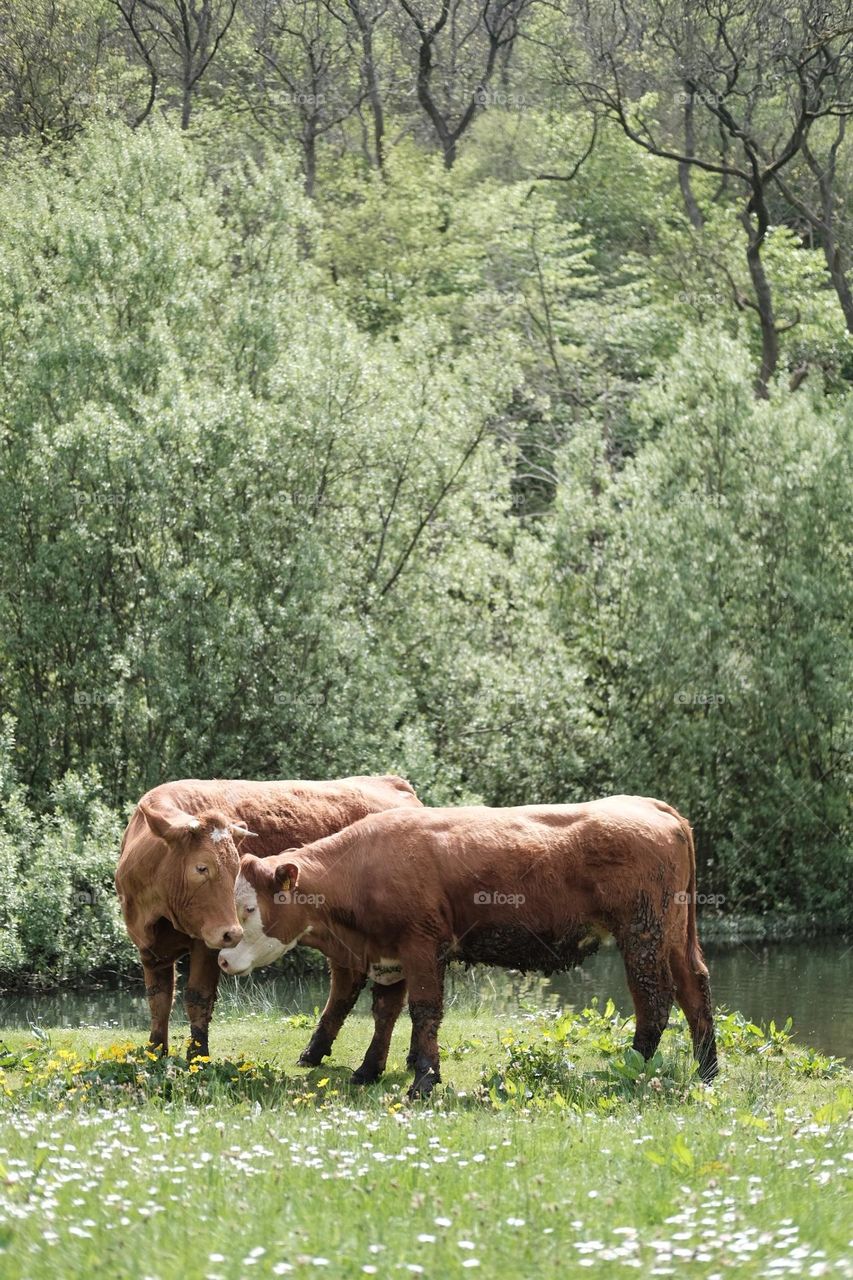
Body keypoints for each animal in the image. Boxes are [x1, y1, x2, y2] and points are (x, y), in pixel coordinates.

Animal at [115, 775, 421, 1062]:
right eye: (201, 867)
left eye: (236, 869)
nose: (233, 933)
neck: (158, 913)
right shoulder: (149, 949)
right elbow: (159, 999)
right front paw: (155, 1052)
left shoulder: (206, 944)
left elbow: (197, 998)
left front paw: (198, 1056)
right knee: (347, 985)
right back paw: (315, 1051)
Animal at [219, 795, 718, 1096]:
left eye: (248, 907)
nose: (221, 957)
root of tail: (649, 804)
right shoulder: (388, 955)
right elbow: (384, 1013)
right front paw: (368, 1070)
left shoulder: (421, 945)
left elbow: (424, 1011)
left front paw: (423, 1080)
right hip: (673, 935)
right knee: (694, 988)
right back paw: (708, 1069)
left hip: (643, 934)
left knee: (654, 999)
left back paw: (631, 1068)